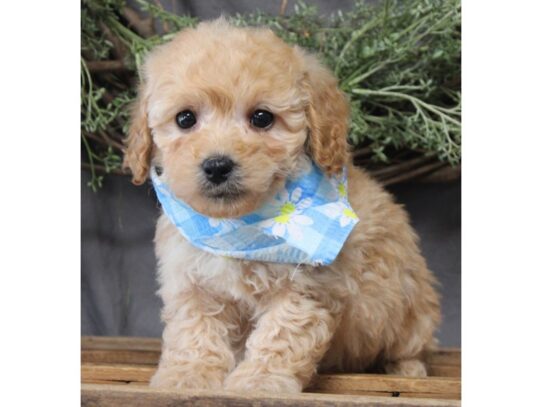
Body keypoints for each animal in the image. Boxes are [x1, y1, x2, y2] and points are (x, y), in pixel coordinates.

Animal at [123, 19, 442, 396]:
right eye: (185, 119)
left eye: (262, 118)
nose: (217, 166)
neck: (238, 229)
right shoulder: (192, 283)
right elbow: (194, 331)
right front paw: (188, 375)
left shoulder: (306, 288)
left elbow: (280, 337)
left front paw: (260, 381)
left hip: (411, 309)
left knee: (412, 346)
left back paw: (408, 370)